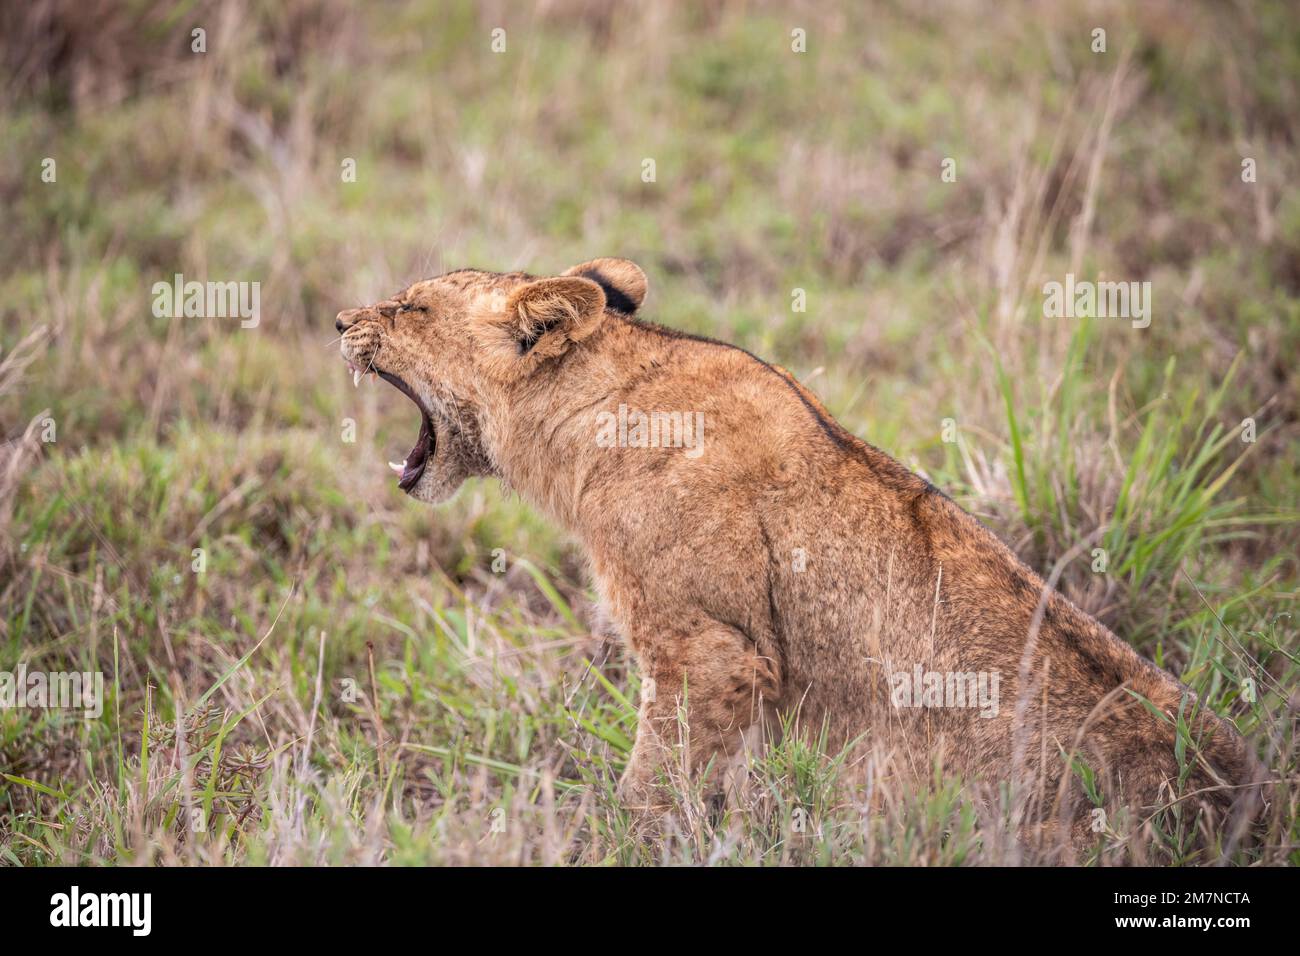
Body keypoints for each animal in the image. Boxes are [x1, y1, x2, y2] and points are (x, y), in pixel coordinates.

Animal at [335, 257, 1258, 858]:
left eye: (411, 308)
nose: (340, 322)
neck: (585, 419)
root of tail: (1233, 807)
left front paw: (609, 845)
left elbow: (649, 782)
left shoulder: (709, 648)